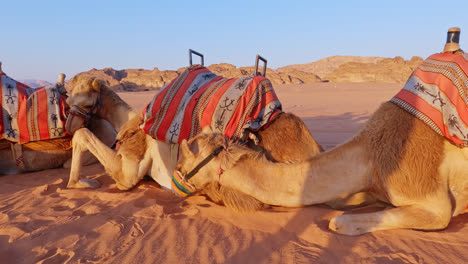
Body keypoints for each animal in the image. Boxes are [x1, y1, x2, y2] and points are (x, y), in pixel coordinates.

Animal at [64, 73, 324, 190]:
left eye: (86, 102)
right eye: (67, 99)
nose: (69, 125)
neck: (129, 122)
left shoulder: (129, 172)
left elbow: (83, 136)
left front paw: (76, 182)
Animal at [175, 29, 468, 235]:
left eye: (185, 156)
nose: (175, 175)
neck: (370, 159)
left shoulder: (432, 200)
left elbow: (337, 222)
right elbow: (338, 204)